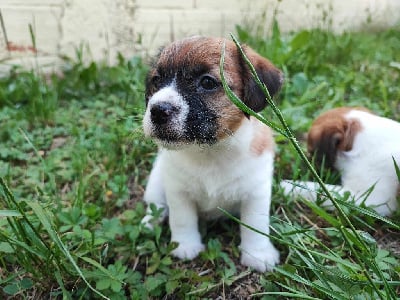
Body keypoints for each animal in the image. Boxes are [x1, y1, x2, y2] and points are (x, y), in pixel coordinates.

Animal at [142, 35, 282, 272]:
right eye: (157, 80)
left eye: (207, 82)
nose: (158, 110)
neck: (210, 152)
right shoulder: (178, 192)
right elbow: (182, 219)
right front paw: (186, 245)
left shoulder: (256, 192)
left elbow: (255, 225)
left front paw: (258, 254)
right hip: (156, 182)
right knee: (156, 205)